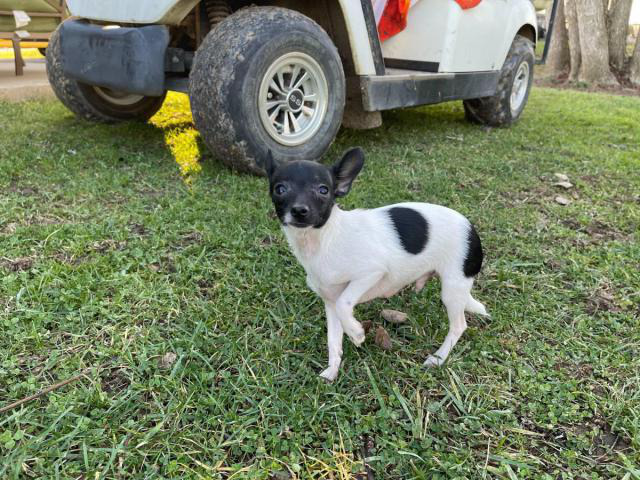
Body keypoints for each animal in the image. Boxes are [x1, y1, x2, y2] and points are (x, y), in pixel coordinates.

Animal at [262, 148, 488, 380]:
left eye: (323, 190)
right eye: (280, 189)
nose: (299, 210)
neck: (323, 239)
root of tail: (471, 228)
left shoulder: (371, 273)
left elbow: (345, 303)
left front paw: (356, 333)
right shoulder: (330, 302)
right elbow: (333, 340)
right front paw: (332, 371)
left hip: (453, 288)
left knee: (459, 326)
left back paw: (439, 358)